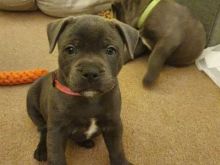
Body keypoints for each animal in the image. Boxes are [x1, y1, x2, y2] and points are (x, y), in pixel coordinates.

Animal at [26, 14, 138, 165]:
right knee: (43, 130)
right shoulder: (56, 130)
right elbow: (56, 154)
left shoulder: (113, 124)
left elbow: (117, 149)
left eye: (110, 50)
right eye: (70, 49)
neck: (89, 98)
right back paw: (42, 150)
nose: (90, 71)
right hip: (32, 105)